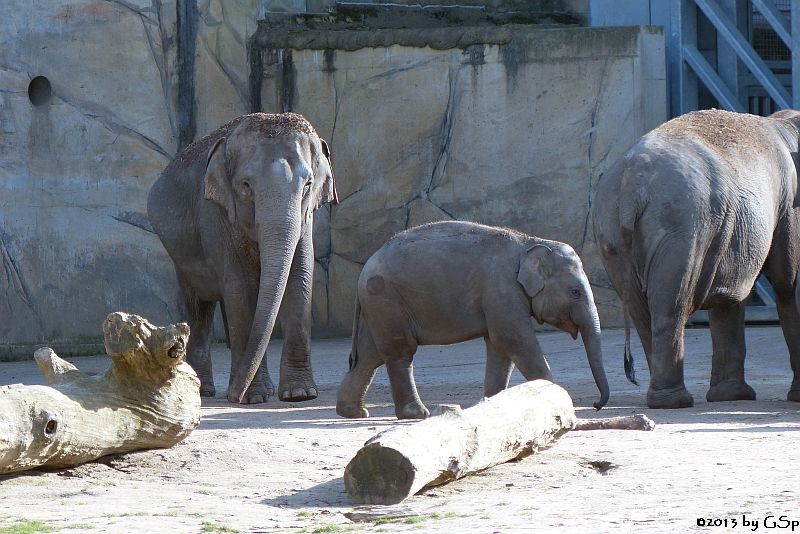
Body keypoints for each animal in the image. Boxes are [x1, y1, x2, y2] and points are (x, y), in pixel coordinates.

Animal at [148, 114, 336, 406]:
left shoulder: (306, 219)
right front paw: (253, 397)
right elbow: (242, 287)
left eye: (307, 185)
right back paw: (205, 390)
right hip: (180, 255)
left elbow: (300, 279)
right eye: (246, 186)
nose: (235, 395)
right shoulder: (217, 215)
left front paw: (299, 395)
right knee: (199, 309)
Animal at [334, 220, 608, 420]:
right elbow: (514, 339)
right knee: (399, 352)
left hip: (379, 306)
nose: (596, 404)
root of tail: (364, 268)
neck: (530, 242)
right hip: (387, 300)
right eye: (575, 292)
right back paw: (416, 414)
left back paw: (354, 413)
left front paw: (494, 404)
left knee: (369, 357)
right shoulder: (501, 289)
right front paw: (553, 396)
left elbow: (499, 346)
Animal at [592, 109, 800, 410]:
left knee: (643, 310)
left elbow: (730, 300)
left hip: (612, 236)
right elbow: (786, 283)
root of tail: (631, 186)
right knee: (672, 304)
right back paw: (674, 402)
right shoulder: (789, 203)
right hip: (684, 228)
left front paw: (729, 397)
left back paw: (665, 399)